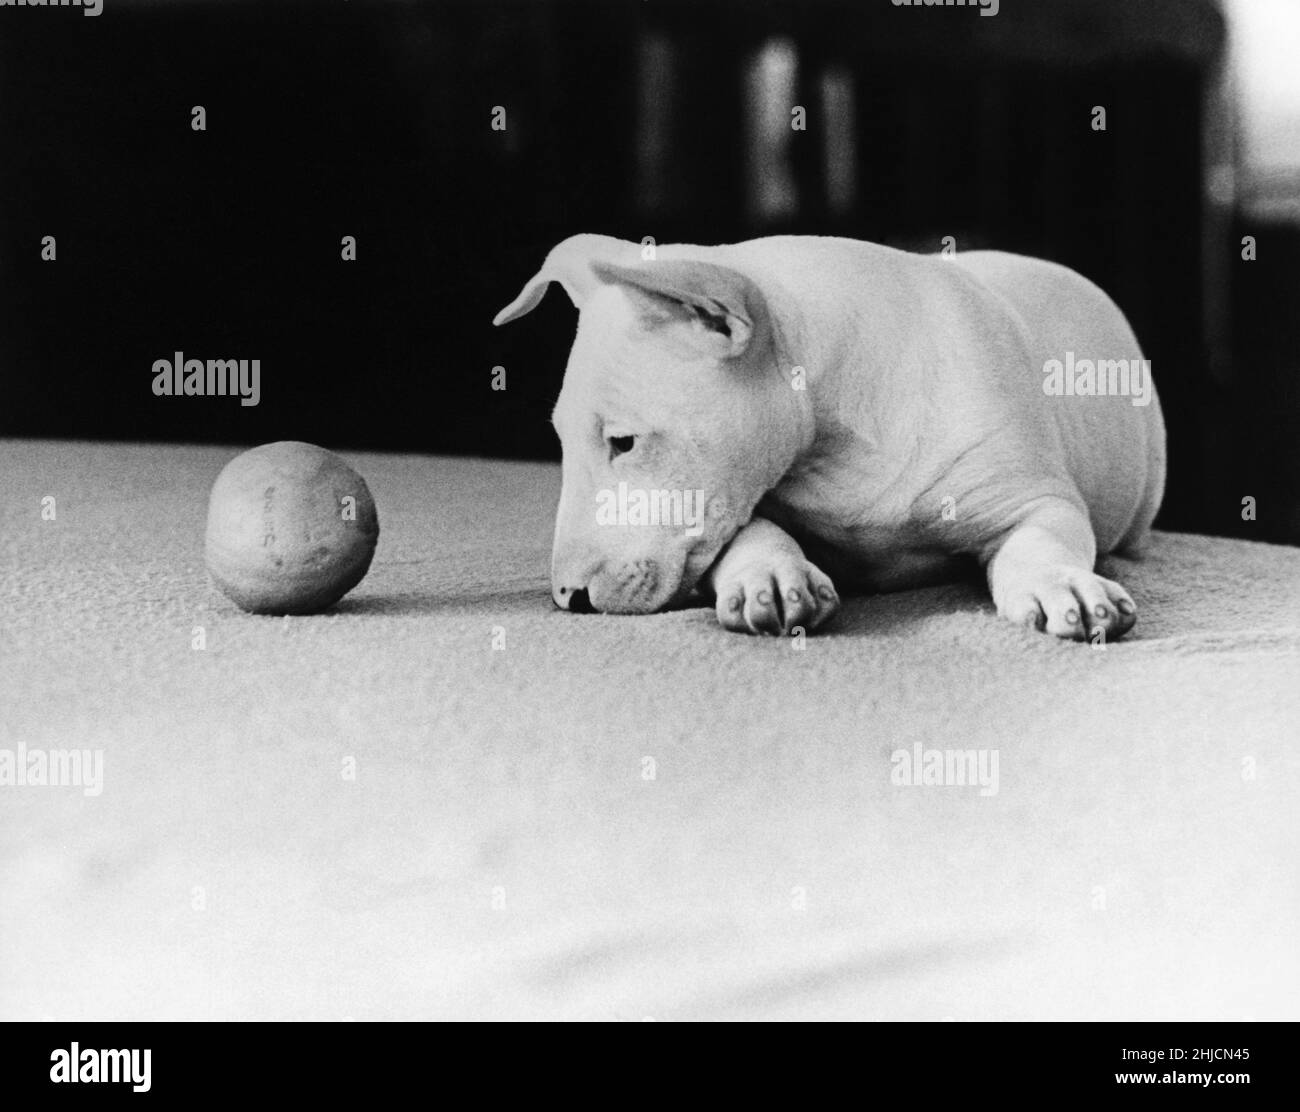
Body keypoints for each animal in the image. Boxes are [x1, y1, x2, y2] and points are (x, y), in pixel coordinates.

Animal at [491, 232, 1164, 642]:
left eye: (624, 442)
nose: (567, 597)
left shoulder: (1032, 494)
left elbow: (1044, 537)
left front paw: (1061, 587)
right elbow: (749, 528)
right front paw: (767, 575)